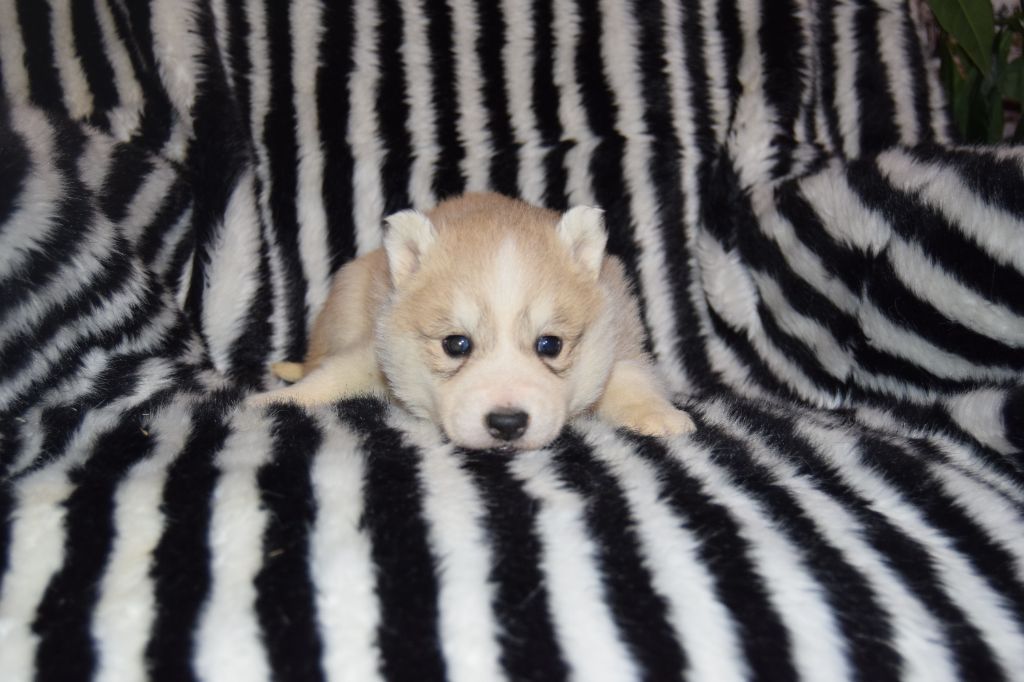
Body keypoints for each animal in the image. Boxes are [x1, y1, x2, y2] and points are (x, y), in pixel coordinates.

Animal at [249, 192, 695, 449]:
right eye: (456, 344)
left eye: (550, 345)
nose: (507, 423)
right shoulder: (374, 349)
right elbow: (333, 375)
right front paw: (273, 401)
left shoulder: (617, 338)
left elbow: (633, 380)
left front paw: (660, 415)